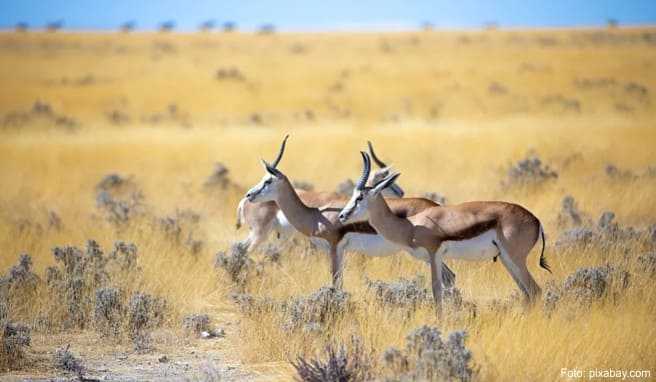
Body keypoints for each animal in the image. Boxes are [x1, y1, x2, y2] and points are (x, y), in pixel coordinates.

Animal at [338, 152, 548, 316]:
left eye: (360, 197)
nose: (342, 215)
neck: (411, 226)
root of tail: (536, 219)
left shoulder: (433, 254)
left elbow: (436, 289)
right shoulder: (434, 258)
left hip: (515, 259)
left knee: (535, 290)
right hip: (506, 259)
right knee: (527, 293)